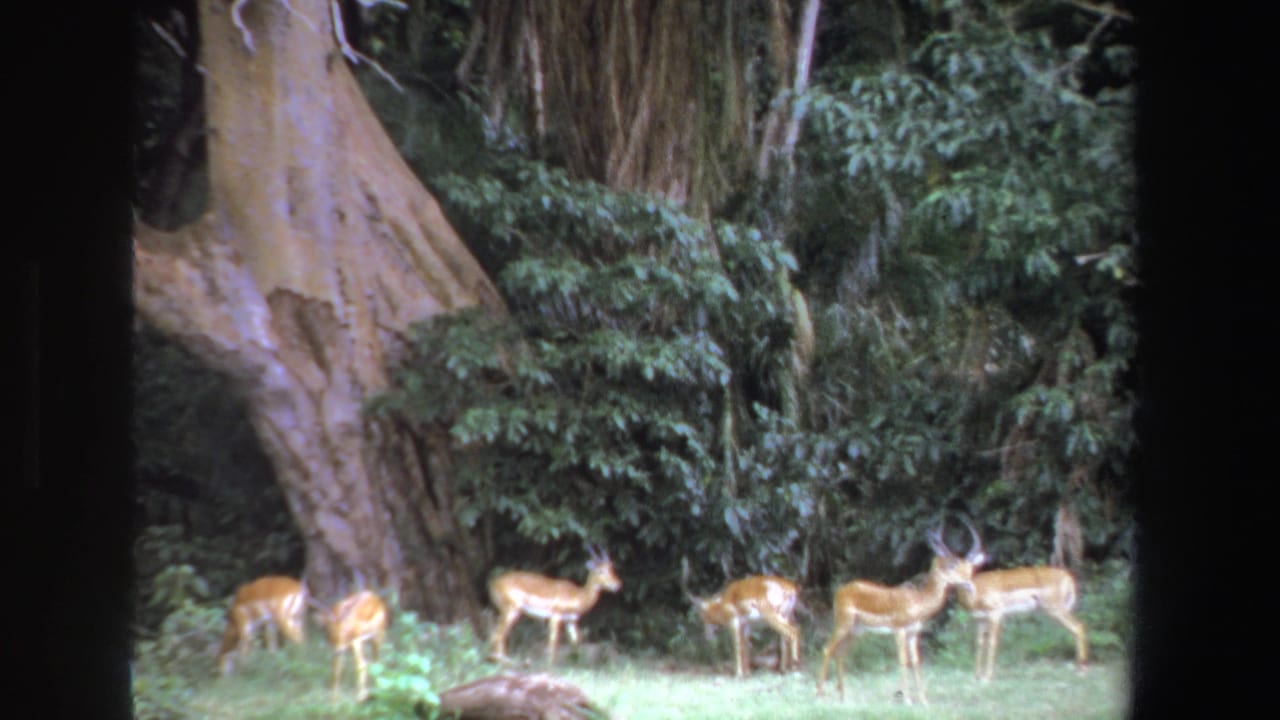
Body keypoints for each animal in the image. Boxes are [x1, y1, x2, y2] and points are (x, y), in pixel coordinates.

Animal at [488, 546, 621, 666]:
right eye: (601, 571)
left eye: (612, 569)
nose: (617, 585)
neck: (577, 595)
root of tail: (494, 583)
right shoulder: (555, 617)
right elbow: (553, 642)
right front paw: (550, 667)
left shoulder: (571, 621)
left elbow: (576, 642)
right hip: (512, 611)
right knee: (497, 635)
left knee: (497, 635)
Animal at [817, 522, 986, 706]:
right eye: (952, 564)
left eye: (970, 567)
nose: (969, 585)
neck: (918, 601)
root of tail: (840, 591)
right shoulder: (899, 630)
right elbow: (903, 660)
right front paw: (907, 700)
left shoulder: (913, 632)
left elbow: (916, 662)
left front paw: (924, 701)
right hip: (843, 623)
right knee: (827, 649)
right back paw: (820, 695)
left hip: (856, 630)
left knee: (840, 653)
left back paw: (843, 698)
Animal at [956, 566, 1088, 681]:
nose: (966, 583)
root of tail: (1067, 576)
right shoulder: (981, 621)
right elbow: (980, 643)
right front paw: (976, 676)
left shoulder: (995, 616)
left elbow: (991, 643)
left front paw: (986, 678)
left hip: (1056, 610)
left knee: (1079, 627)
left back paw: (1081, 671)